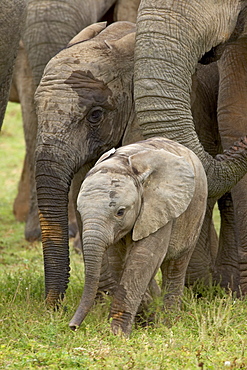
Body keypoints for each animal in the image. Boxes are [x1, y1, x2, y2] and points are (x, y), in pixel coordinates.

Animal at [70, 137, 208, 336]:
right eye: (79, 211)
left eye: (120, 212)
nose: (73, 327)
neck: (122, 164)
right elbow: (120, 262)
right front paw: (145, 320)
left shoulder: (158, 207)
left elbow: (143, 258)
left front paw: (118, 334)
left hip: (196, 210)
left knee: (175, 266)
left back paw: (170, 321)